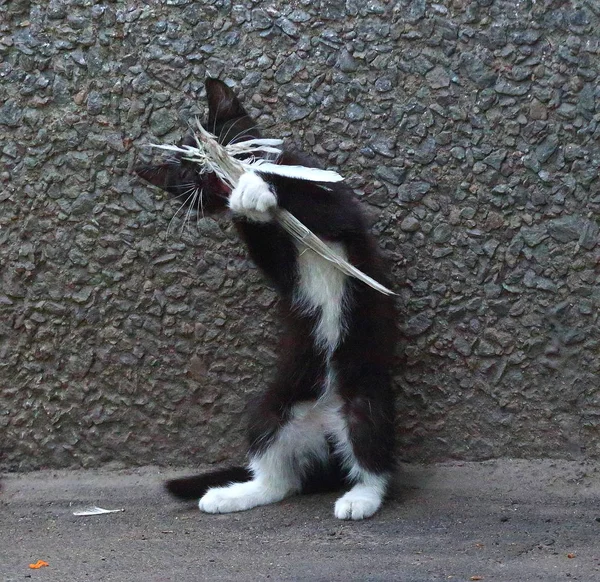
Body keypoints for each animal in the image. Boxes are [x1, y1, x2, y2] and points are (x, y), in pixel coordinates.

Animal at [137, 78, 398, 524]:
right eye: (185, 173)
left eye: (219, 141)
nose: (206, 170)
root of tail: (325, 430)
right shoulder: (277, 262)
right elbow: (268, 250)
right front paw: (247, 200)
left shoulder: (338, 209)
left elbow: (321, 205)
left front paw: (256, 182)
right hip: (275, 405)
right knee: (279, 473)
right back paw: (235, 494)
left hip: (365, 400)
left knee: (371, 451)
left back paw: (360, 497)